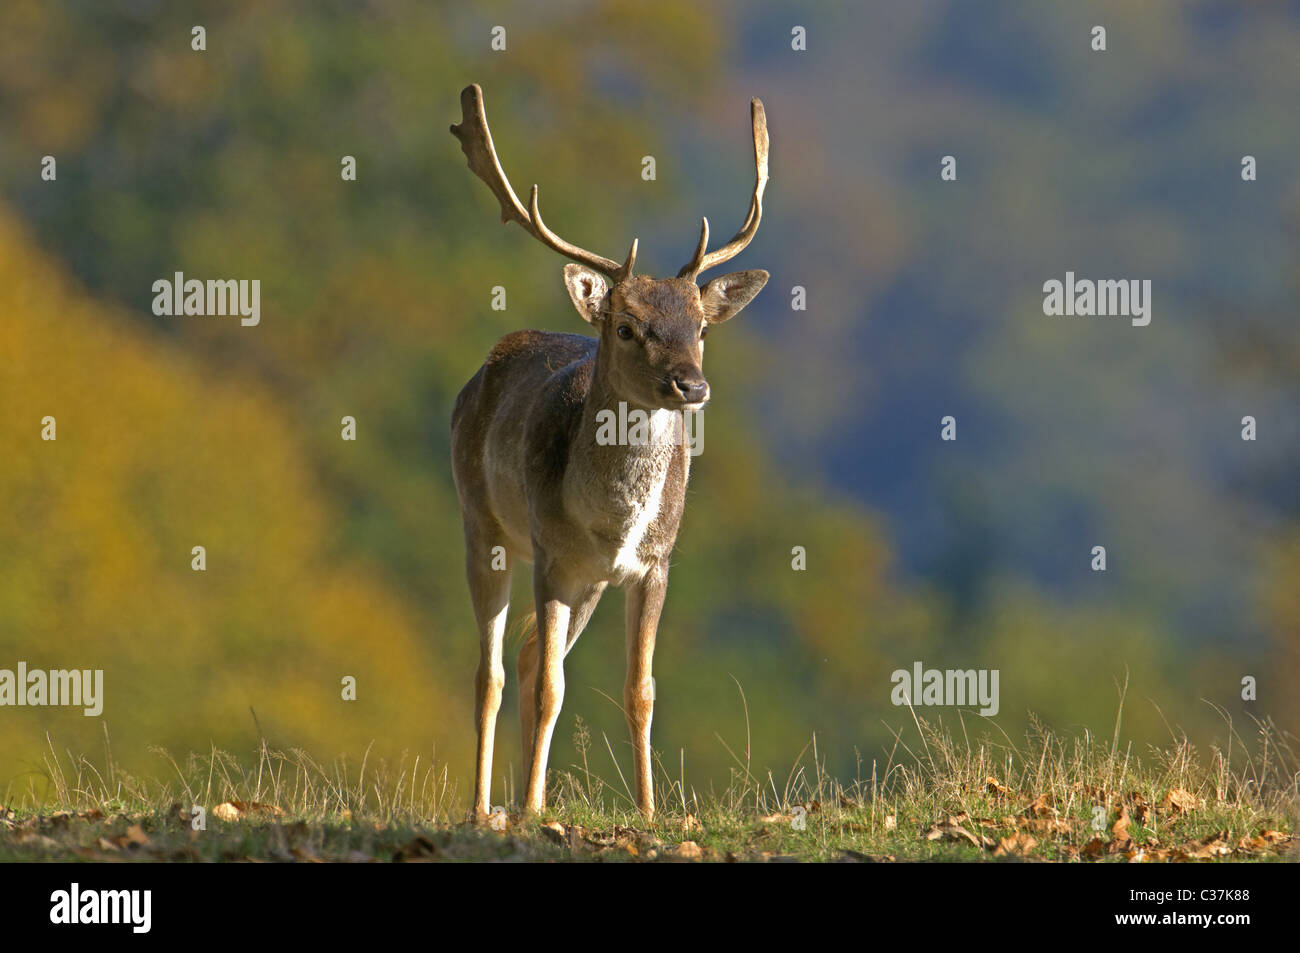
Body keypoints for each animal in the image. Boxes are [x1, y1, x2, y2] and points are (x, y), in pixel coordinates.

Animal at [452, 85, 764, 821]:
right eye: (626, 326)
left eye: (700, 327)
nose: (691, 386)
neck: (613, 523)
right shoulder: (552, 555)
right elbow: (548, 689)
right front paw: (530, 807)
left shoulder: (653, 563)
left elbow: (640, 690)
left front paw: (649, 811)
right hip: (483, 523)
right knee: (493, 670)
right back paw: (488, 807)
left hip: (587, 581)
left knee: (530, 656)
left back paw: (522, 797)